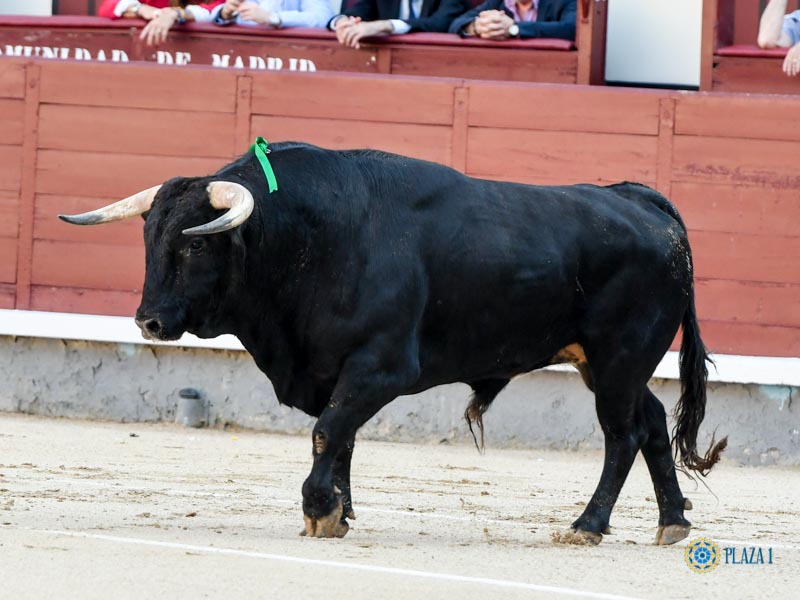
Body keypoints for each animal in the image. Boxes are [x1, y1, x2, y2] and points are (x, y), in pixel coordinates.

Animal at [62, 142, 724, 544]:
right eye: (149, 236)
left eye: (197, 242)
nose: (149, 322)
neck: (311, 239)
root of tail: (643, 202)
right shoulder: (335, 369)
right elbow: (342, 437)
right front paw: (341, 508)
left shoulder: (380, 366)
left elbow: (328, 430)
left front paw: (320, 511)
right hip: (612, 364)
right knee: (653, 421)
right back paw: (672, 522)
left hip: (618, 357)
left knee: (623, 435)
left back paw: (587, 524)